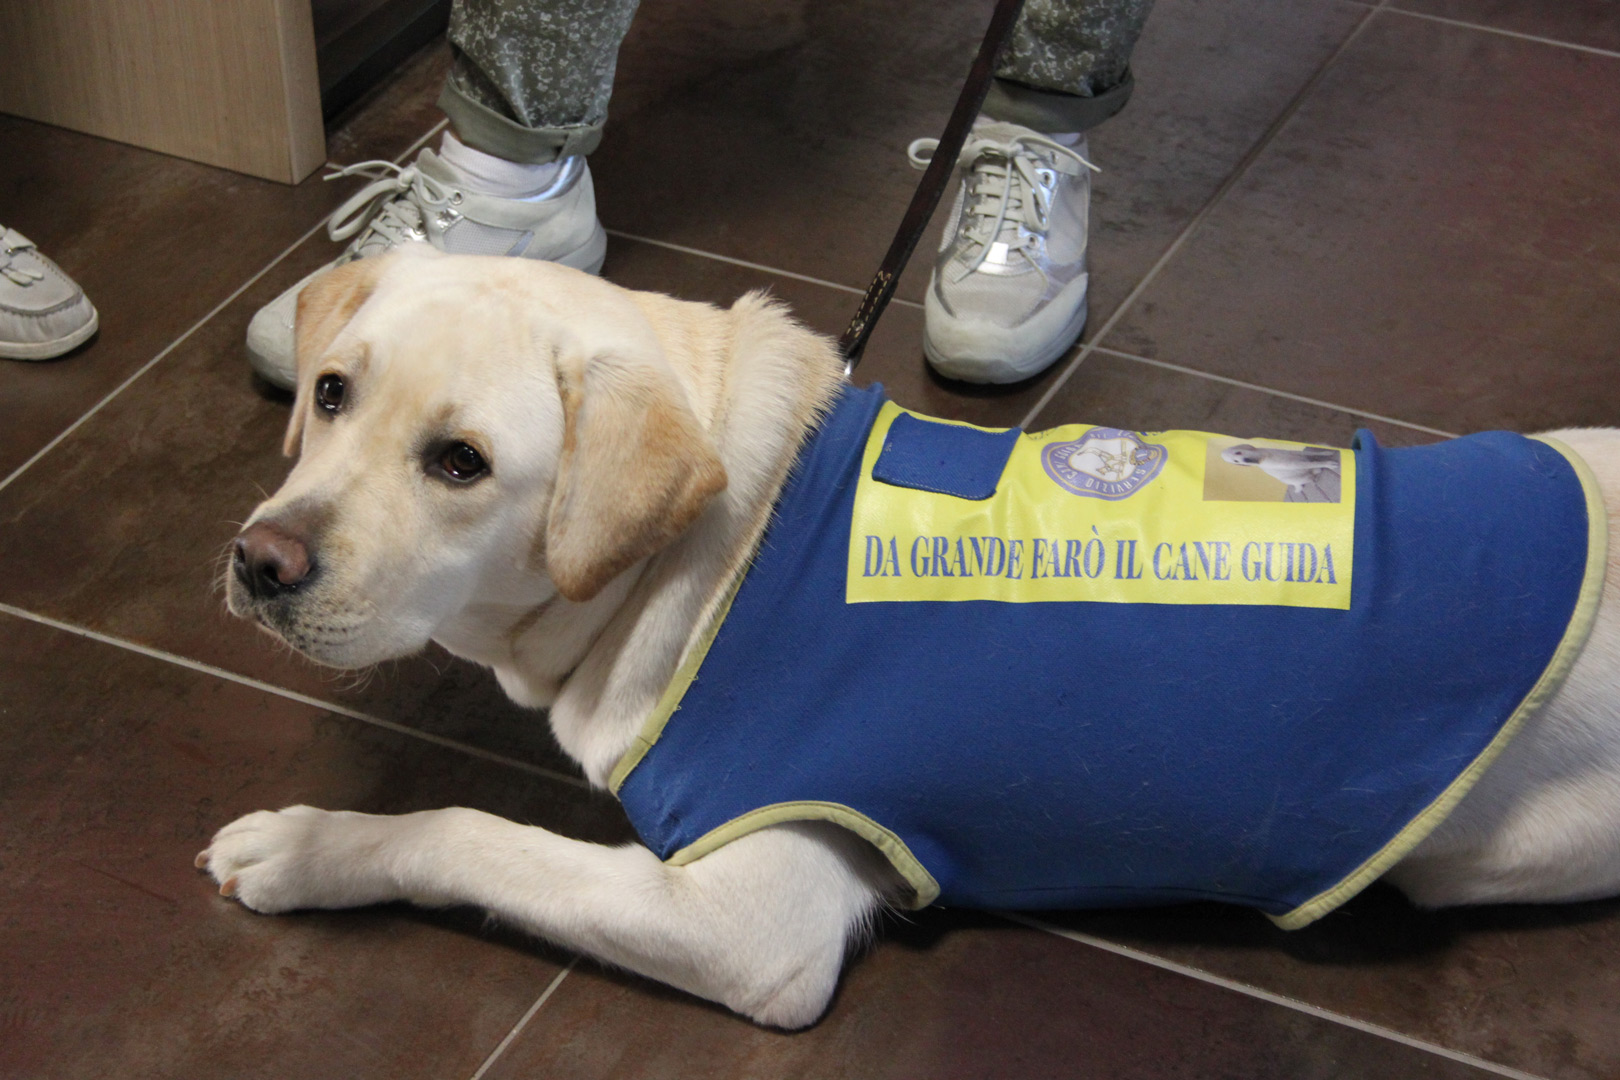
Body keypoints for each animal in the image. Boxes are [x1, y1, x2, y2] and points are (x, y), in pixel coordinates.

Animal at [199, 250, 1620, 1029]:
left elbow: (468, 834)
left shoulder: (758, 913)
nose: (261, 562)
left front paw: (309, 846)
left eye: (462, 462)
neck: (726, 547)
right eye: (331, 394)